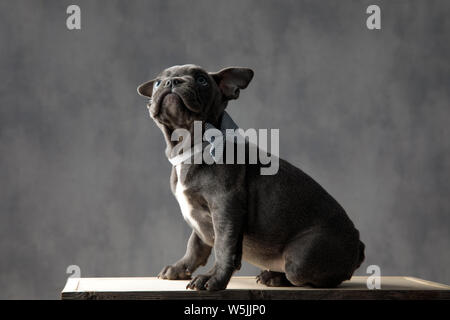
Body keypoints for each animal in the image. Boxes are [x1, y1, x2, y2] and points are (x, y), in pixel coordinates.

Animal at [138, 63, 366, 292]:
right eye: (158, 82)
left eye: (202, 80)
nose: (172, 81)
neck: (189, 148)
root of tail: (358, 245)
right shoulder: (200, 216)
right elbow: (196, 244)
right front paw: (180, 268)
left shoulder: (226, 207)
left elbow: (223, 246)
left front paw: (213, 278)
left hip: (302, 258)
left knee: (313, 277)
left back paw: (278, 277)